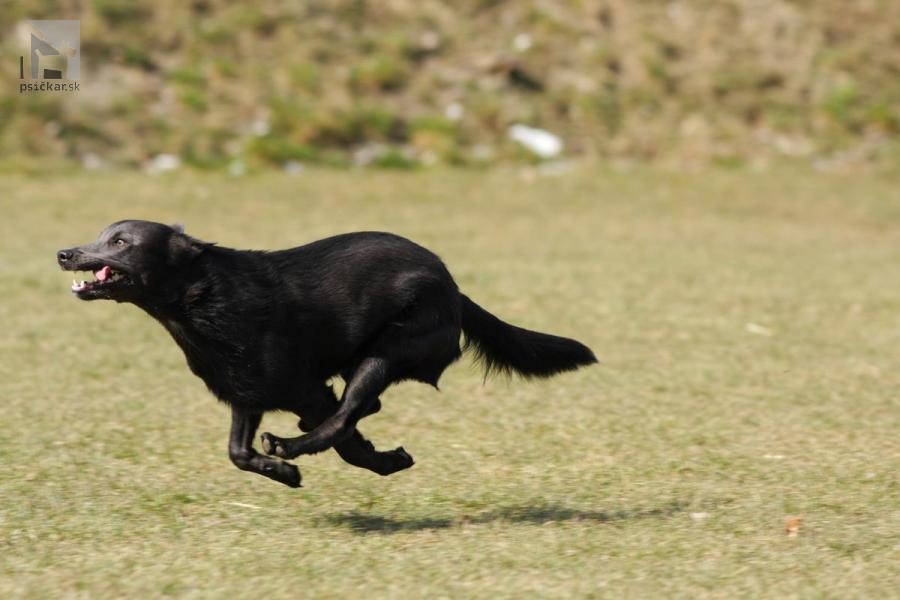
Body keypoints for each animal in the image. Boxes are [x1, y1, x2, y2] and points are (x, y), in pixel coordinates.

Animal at [59, 220, 600, 488]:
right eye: (100, 234)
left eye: (120, 241)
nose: (65, 253)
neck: (201, 299)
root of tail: (454, 289)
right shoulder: (246, 391)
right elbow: (238, 453)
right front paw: (280, 473)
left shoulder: (305, 389)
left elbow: (343, 437)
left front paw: (373, 461)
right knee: (358, 409)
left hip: (385, 353)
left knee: (346, 415)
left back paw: (303, 446)